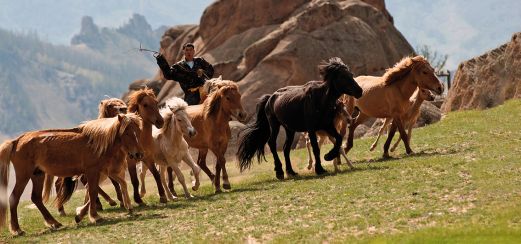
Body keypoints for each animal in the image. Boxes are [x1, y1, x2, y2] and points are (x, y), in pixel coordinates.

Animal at [0, 113, 142, 235]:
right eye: (127, 132)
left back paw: (54, 223)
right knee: (14, 198)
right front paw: (95, 216)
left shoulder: (100, 171)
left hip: (37, 175)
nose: (138, 154)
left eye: (138, 131)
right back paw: (17, 229)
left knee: (36, 198)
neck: (94, 142)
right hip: (24, 175)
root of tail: (16, 141)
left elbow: (95, 191)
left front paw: (82, 215)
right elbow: (93, 191)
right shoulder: (92, 171)